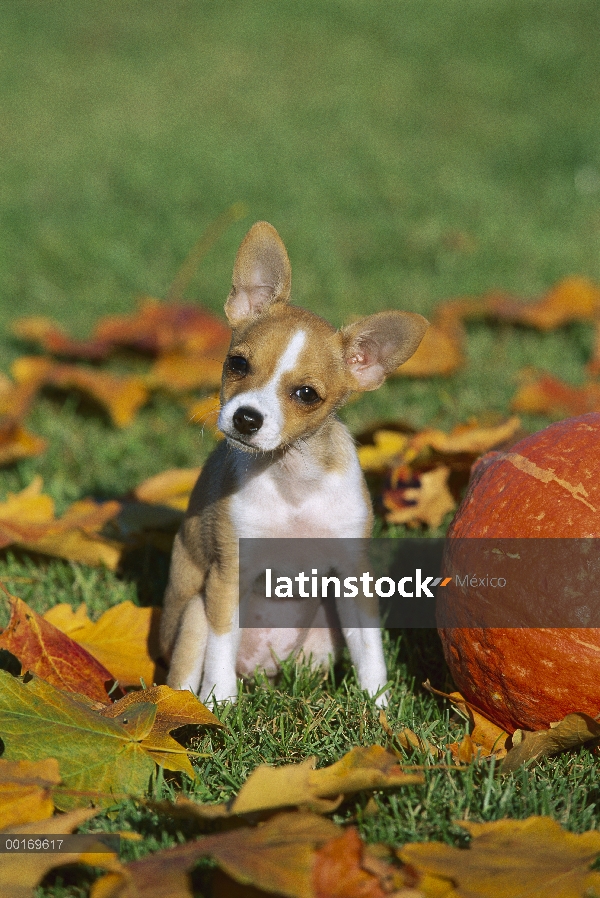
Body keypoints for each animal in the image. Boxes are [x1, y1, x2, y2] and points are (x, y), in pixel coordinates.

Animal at [159, 220, 426, 704]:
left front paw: (379, 710)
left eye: (306, 394)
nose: (246, 418)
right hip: (194, 614)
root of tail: (262, 673)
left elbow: (370, 653)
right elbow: (219, 655)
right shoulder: (226, 580)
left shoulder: (353, 580)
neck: (291, 479)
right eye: (237, 364)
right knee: (186, 676)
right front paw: (222, 708)